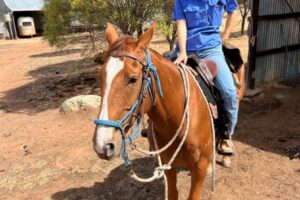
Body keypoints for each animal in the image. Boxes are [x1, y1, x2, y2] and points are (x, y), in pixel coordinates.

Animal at [93, 23, 244, 198]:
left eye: (133, 79)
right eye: (100, 77)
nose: (102, 145)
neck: (179, 122)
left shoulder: (199, 169)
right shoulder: (167, 166)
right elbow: (173, 193)